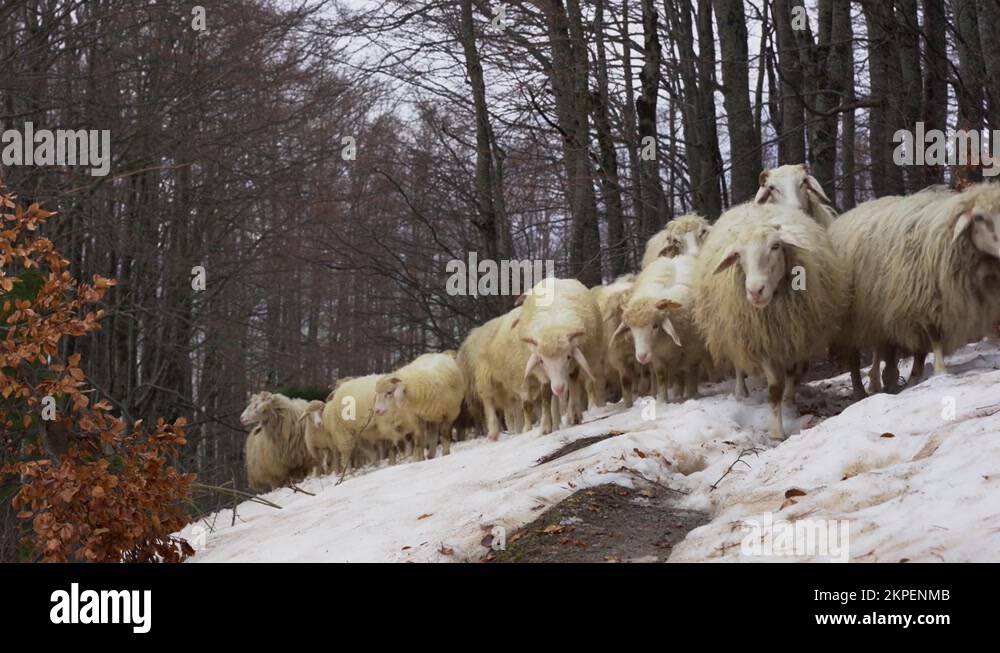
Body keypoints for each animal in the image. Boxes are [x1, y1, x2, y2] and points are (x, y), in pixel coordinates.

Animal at [518, 278, 606, 428]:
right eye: (541, 361)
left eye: (568, 357)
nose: (558, 388)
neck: (553, 326)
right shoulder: (543, 373)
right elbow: (546, 393)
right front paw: (546, 426)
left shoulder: (574, 365)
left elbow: (573, 385)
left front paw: (574, 415)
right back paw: (555, 422)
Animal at [692, 202, 847, 440]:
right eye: (738, 254)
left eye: (775, 246)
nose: (755, 291)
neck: (776, 313)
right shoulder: (761, 342)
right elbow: (774, 387)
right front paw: (776, 431)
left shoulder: (800, 338)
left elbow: (795, 374)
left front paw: (789, 403)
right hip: (734, 332)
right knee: (739, 364)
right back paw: (741, 392)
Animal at [829, 183, 1000, 397]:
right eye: (979, 217)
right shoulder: (922, 301)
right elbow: (934, 338)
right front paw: (940, 372)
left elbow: (920, 351)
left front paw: (913, 379)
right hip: (851, 320)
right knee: (854, 357)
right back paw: (861, 391)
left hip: (879, 314)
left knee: (883, 351)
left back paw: (883, 382)